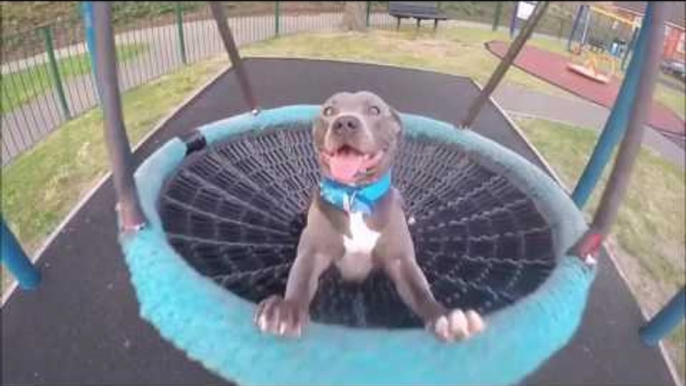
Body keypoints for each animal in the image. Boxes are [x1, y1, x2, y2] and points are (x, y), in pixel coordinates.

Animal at [255, 92, 486, 342]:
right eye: (328, 111)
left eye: (374, 110)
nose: (345, 122)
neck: (355, 197)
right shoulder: (312, 253)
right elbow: (300, 282)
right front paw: (286, 309)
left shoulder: (401, 261)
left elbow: (420, 292)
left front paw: (444, 316)